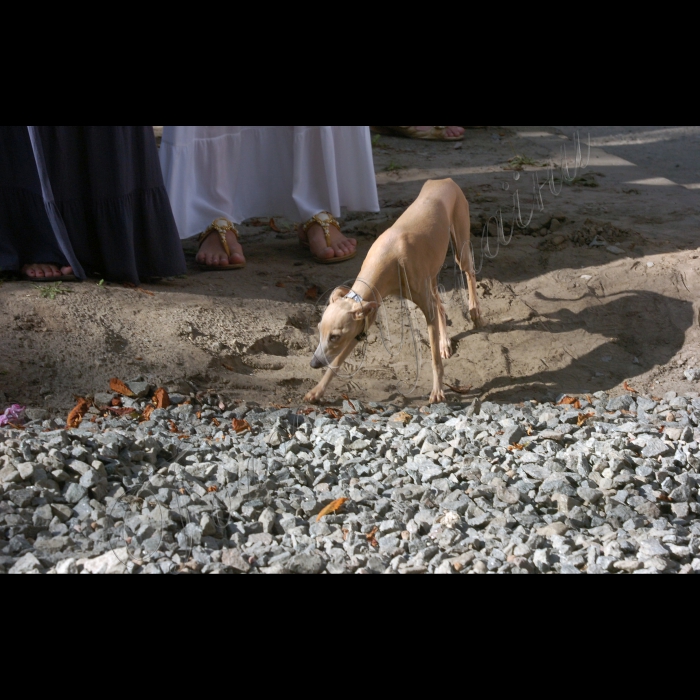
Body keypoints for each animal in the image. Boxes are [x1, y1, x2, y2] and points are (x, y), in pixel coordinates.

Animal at [306, 178, 482, 404]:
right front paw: (317, 391)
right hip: (432, 274)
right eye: (319, 329)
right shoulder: (363, 320)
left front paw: (437, 390)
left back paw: (475, 311)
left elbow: (434, 359)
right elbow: (336, 363)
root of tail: (443, 180)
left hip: (460, 245)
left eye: (335, 336)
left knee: (469, 273)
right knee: (440, 306)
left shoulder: (421, 307)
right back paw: (444, 343)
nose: (314, 364)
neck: (389, 254)